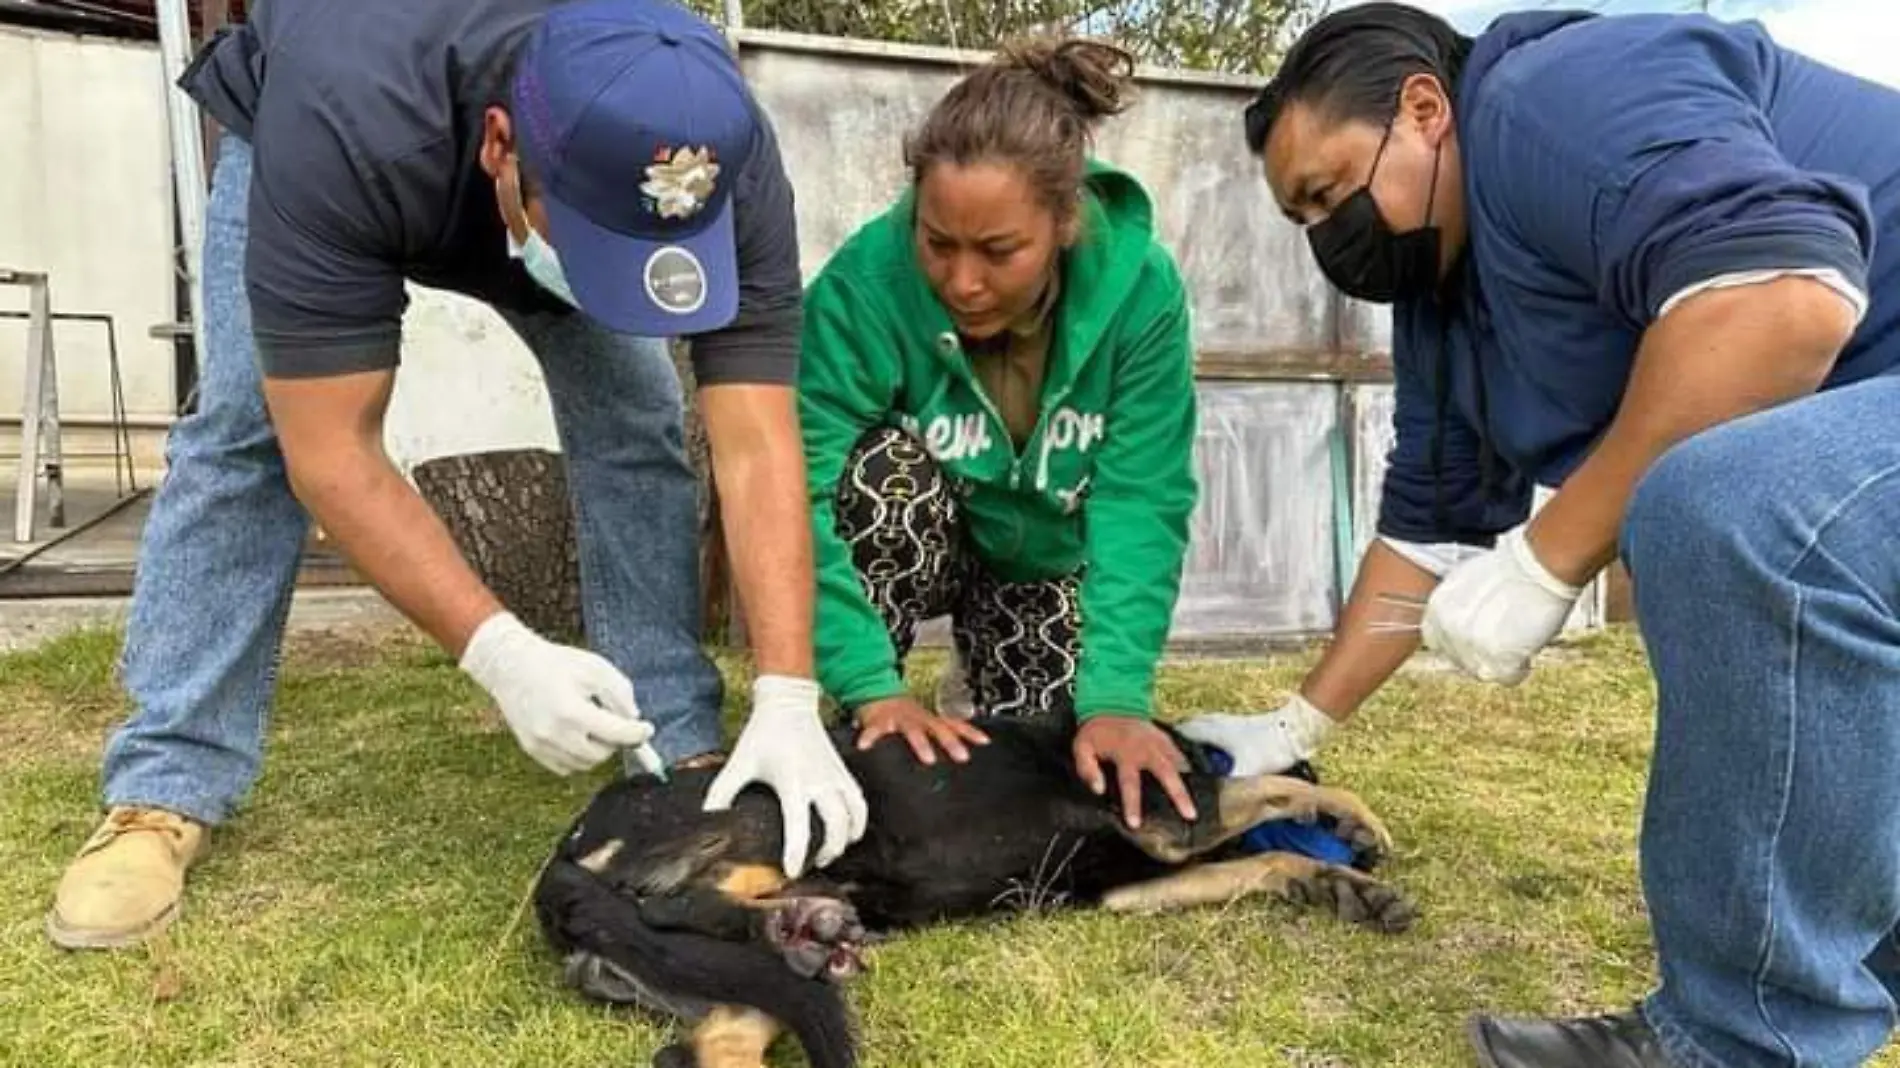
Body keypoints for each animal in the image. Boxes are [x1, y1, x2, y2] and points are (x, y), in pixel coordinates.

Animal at [528, 710, 1421, 1064]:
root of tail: (564, 858)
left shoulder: (1132, 884)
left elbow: (1264, 863)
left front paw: (1348, 888)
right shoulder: (1176, 822)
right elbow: (1269, 791)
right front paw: (1354, 817)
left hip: (742, 987)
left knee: (707, 1040)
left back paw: (811, 930)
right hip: (776, 807)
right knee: (674, 901)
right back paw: (799, 919)